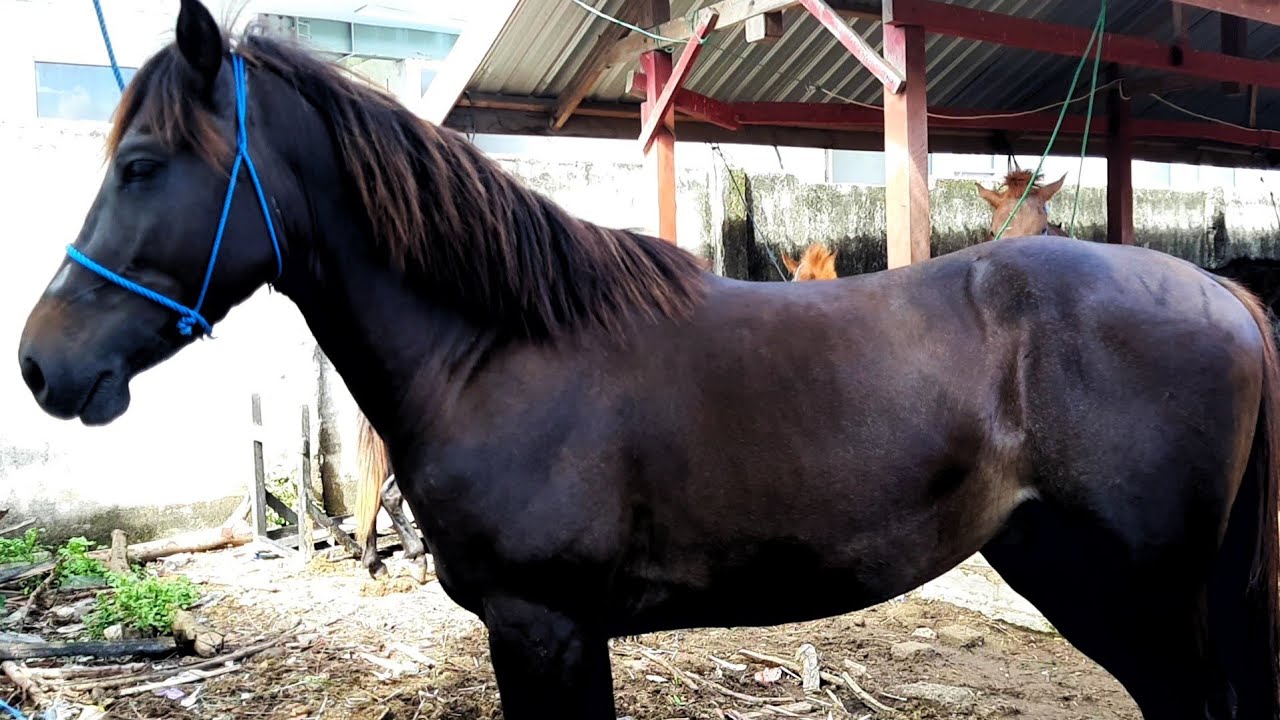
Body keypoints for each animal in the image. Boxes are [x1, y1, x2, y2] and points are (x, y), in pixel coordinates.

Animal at [16, 3, 1280, 717]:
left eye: (139, 165)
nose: (40, 363)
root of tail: (1220, 293)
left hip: (1133, 596)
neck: (501, 350)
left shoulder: (543, 629)